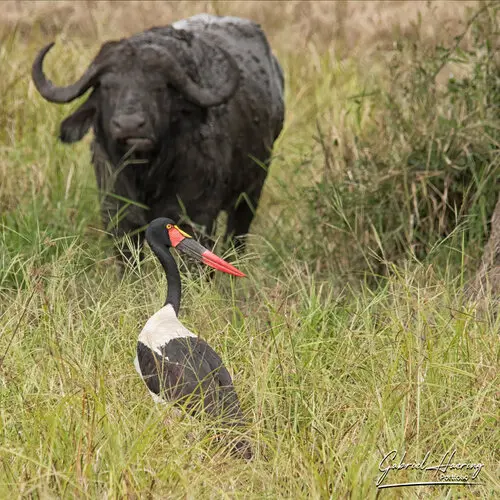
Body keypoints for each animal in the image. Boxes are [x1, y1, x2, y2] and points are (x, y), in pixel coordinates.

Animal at [32, 13, 286, 264]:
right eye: (107, 87)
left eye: (158, 87)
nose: (130, 125)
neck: (147, 175)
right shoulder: (118, 216)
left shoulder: (197, 217)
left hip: (251, 193)